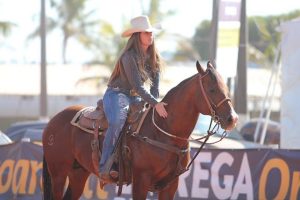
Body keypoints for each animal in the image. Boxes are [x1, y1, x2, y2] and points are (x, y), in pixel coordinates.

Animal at [42, 61, 239, 198]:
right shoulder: (141, 181)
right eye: (212, 89)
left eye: (226, 87)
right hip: (58, 173)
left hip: (78, 172)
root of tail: (53, 121)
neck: (163, 132)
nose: (233, 119)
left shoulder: (170, 185)